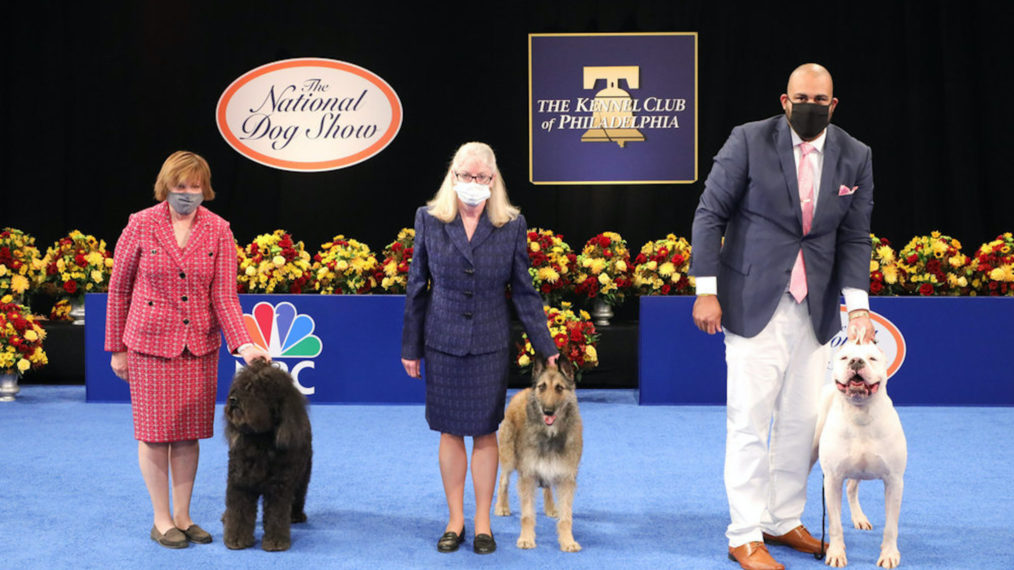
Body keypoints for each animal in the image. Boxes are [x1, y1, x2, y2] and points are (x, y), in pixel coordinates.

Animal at [223, 359, 310, 551]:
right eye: (239, 386)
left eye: (256, 389)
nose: (233, 399)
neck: (259, 440)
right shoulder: (240, 483)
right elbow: (238, 513)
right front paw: (236, 539)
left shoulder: (279, 487)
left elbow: (276, 516)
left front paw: (276, 542)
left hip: (303, 475)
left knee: (299, 495)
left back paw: (296, 515)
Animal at [494, 357, 584, 547]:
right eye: (542, 387)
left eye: (559, 388)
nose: (547, 411)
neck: (550, 433)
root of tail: (522, 392)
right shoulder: (527, 476)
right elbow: (527, 515)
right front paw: (526, 538)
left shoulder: (566, 477)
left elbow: (566, 517)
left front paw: (568, 541)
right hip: (508, 457)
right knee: (503, 480)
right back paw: (502, 507)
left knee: (547, 486)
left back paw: (550, 508)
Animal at [815, 338, 912, 563]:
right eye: (844, 357)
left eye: (872, 358)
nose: (856, 361)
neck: (860, 413)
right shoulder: (832, 480)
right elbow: (834, 524)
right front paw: (836, 553)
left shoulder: (894, 481)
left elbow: (891, 526)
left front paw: (889, 554)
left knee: (851, 488)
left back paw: (859, 518)